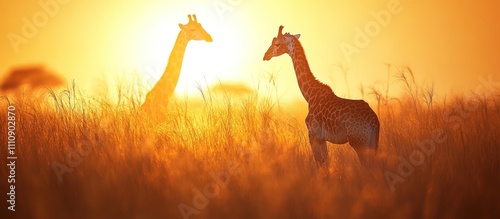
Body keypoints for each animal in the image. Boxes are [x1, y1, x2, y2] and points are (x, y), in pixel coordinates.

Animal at [262, 25, 378, 167]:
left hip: (359, 143)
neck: (309, 94)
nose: (265, 55)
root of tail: (374, 120)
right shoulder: (322, 139)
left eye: (277, 43)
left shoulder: (313, 135)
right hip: (372, 143)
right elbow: (326, 164)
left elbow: (319, 165)